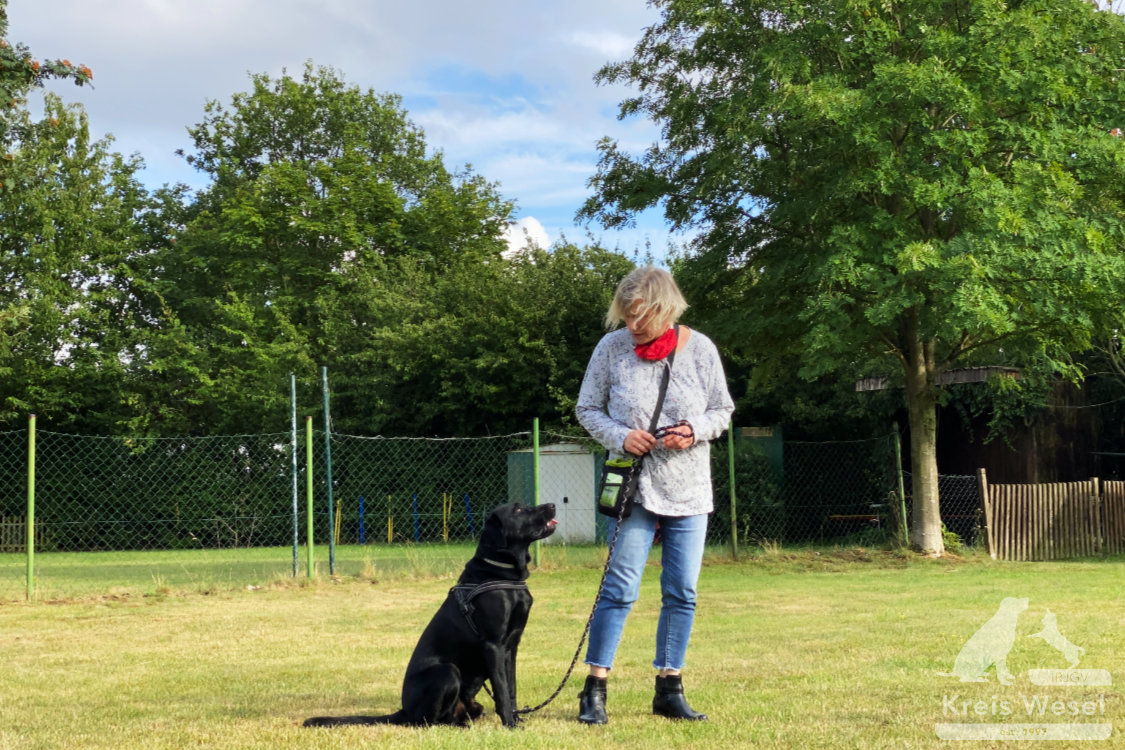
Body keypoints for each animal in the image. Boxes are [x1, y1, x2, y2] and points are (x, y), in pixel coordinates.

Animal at [306, 501, 555, 728]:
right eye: (518, 509)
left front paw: (516, 718)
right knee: (427, 721)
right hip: (447, 672)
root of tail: (404, 710)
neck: (502, 572)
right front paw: (510, 724)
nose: (552, 505)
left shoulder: (511, 647)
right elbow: (501, 689)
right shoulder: (493, 645)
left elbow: (510, 687)